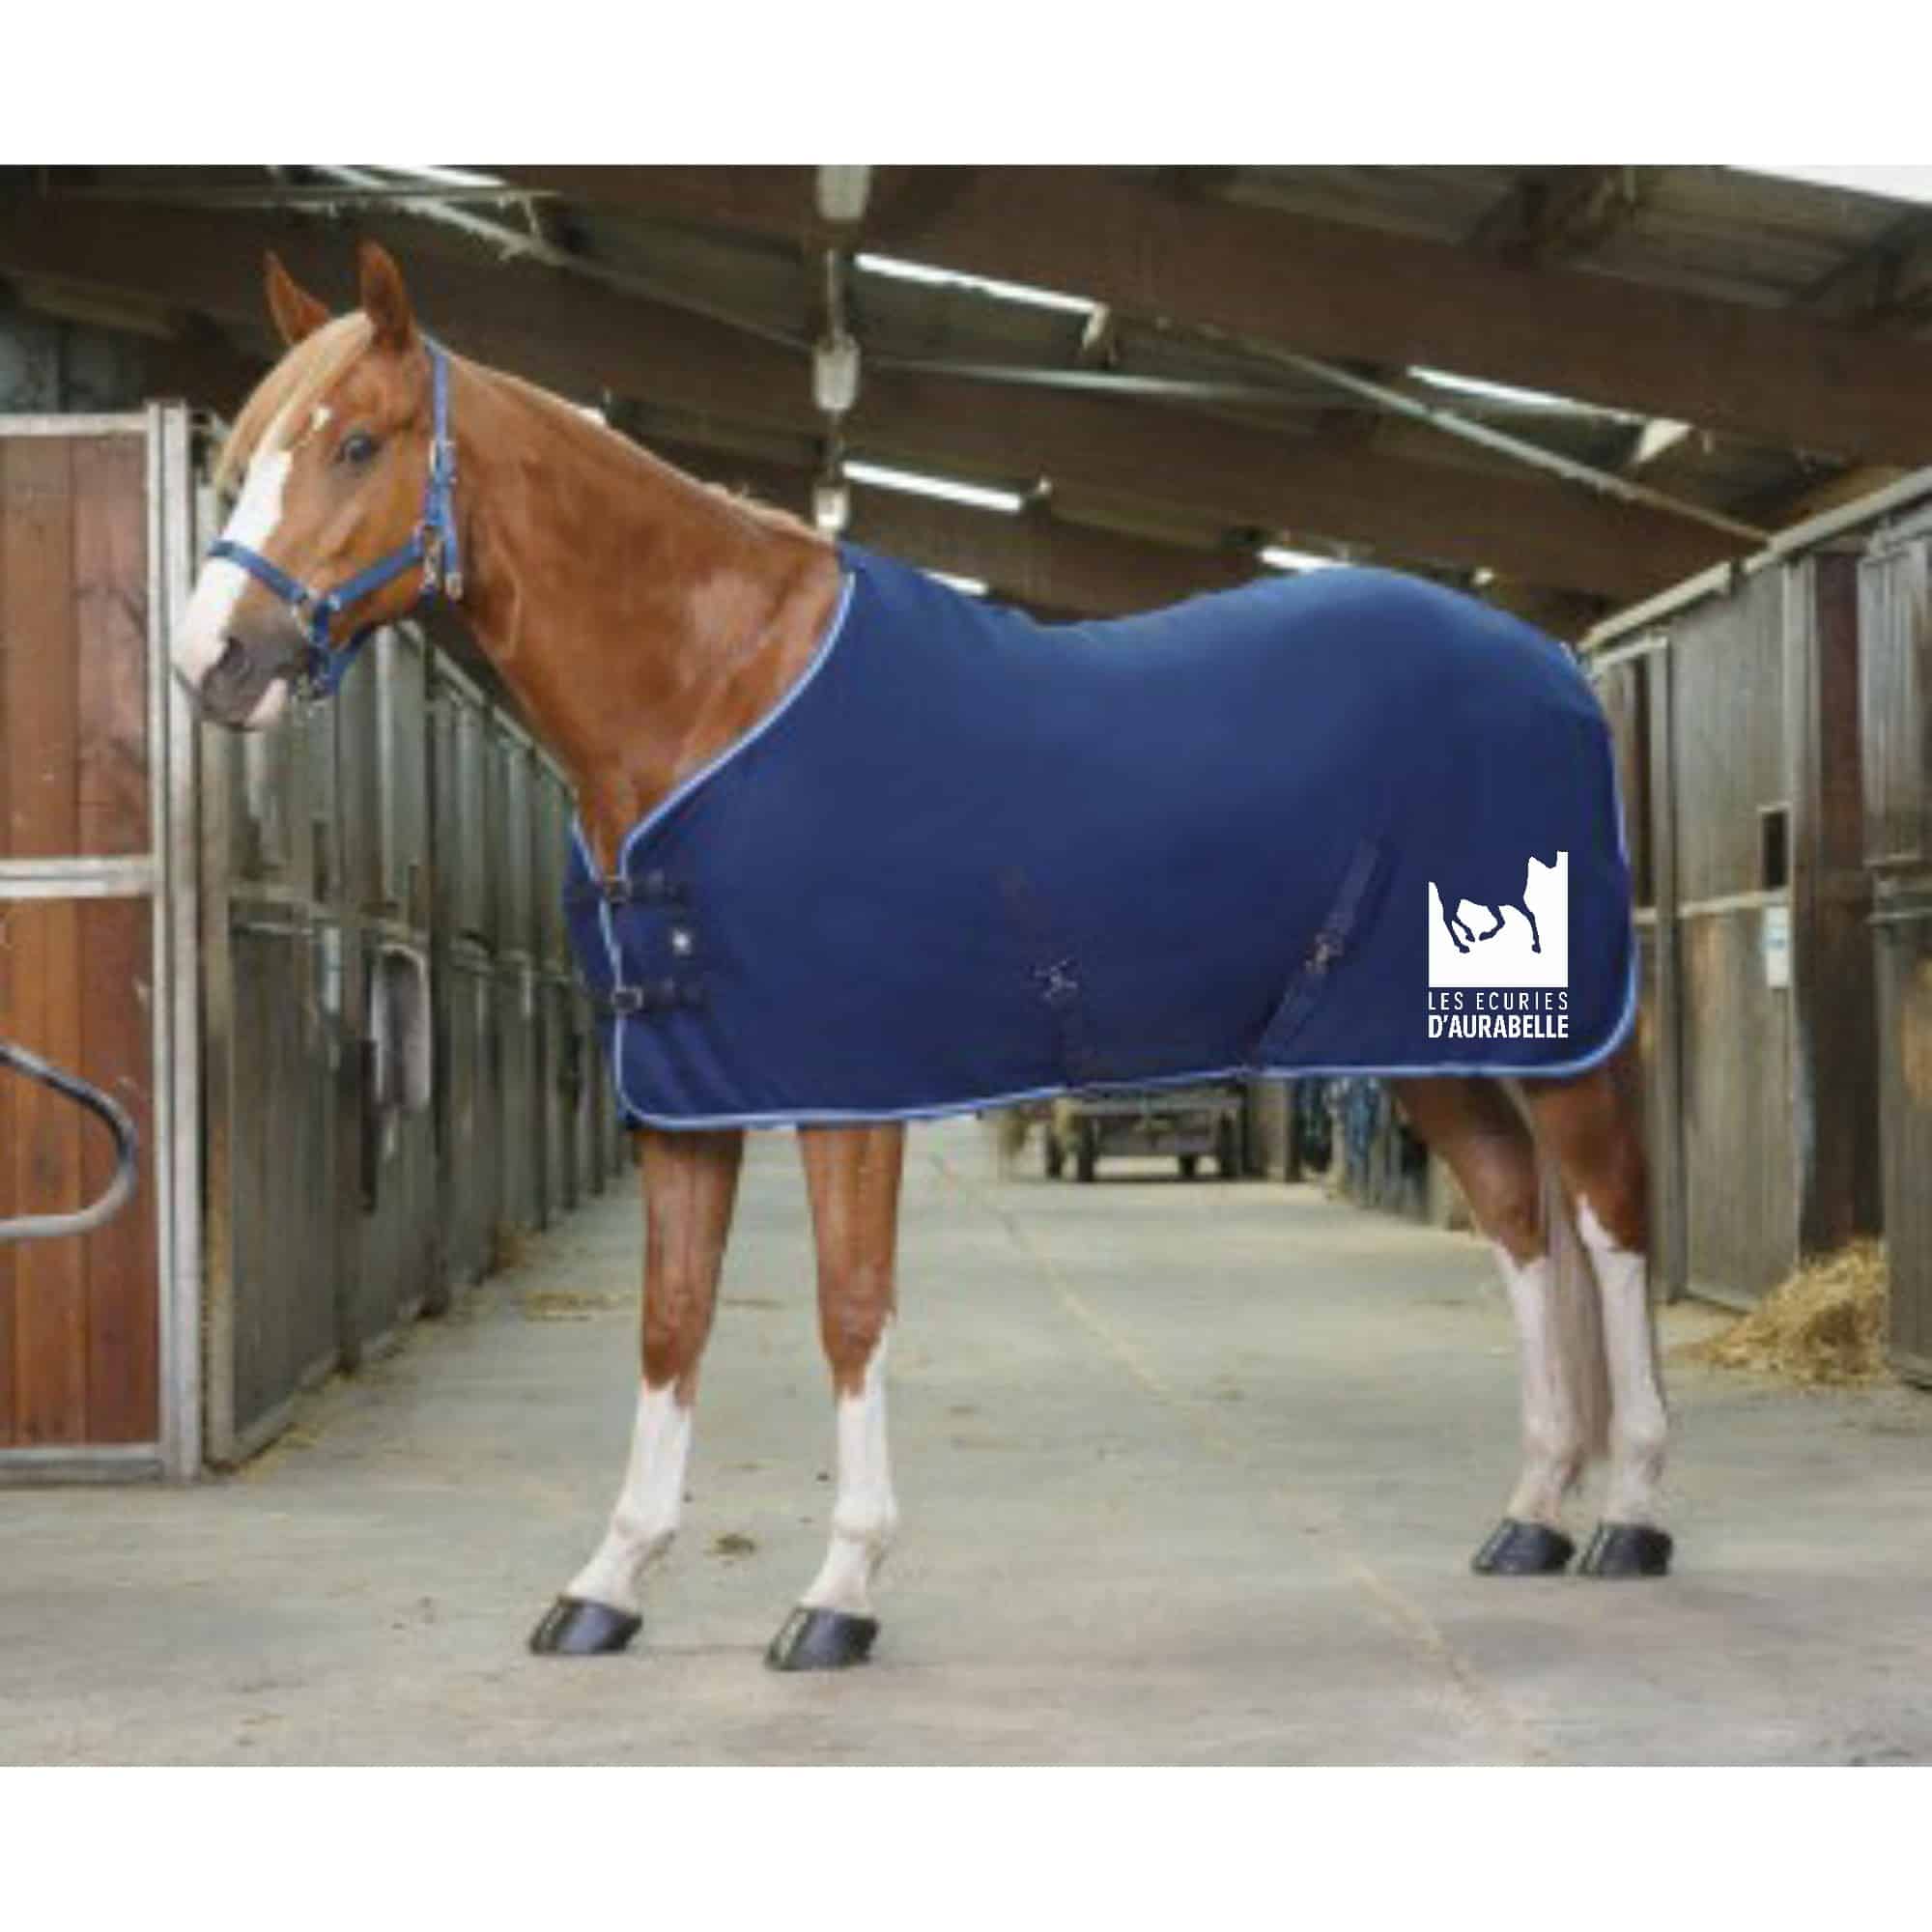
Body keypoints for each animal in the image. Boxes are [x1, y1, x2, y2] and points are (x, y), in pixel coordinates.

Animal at [172, 243, 1670, 1671]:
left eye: (357, 443)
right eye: (242, 457)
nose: (212, 660)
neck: (713, 688)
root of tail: (1553, 661)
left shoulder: (848, 1091)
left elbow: (849, 1312)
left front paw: (837, 1594)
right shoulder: (683, 1096)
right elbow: (669, 1320)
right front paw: (607, 1582)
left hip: (1552, 1039)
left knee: (1606, 1223)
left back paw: (1631, 1517)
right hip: (1417, 1043)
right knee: (1517, 1220)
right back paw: (1531, 1514)